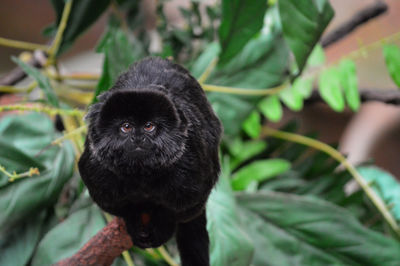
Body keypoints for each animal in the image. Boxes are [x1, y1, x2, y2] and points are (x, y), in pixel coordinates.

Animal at [77, 57, 222, 264]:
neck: (142, 176)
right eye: (126, 127)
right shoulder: (97, 172)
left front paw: (163, 221)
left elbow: (188, 205)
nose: (137, 138)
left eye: (148, 126)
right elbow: (117, 206)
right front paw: (133, 217)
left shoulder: (191, 169)